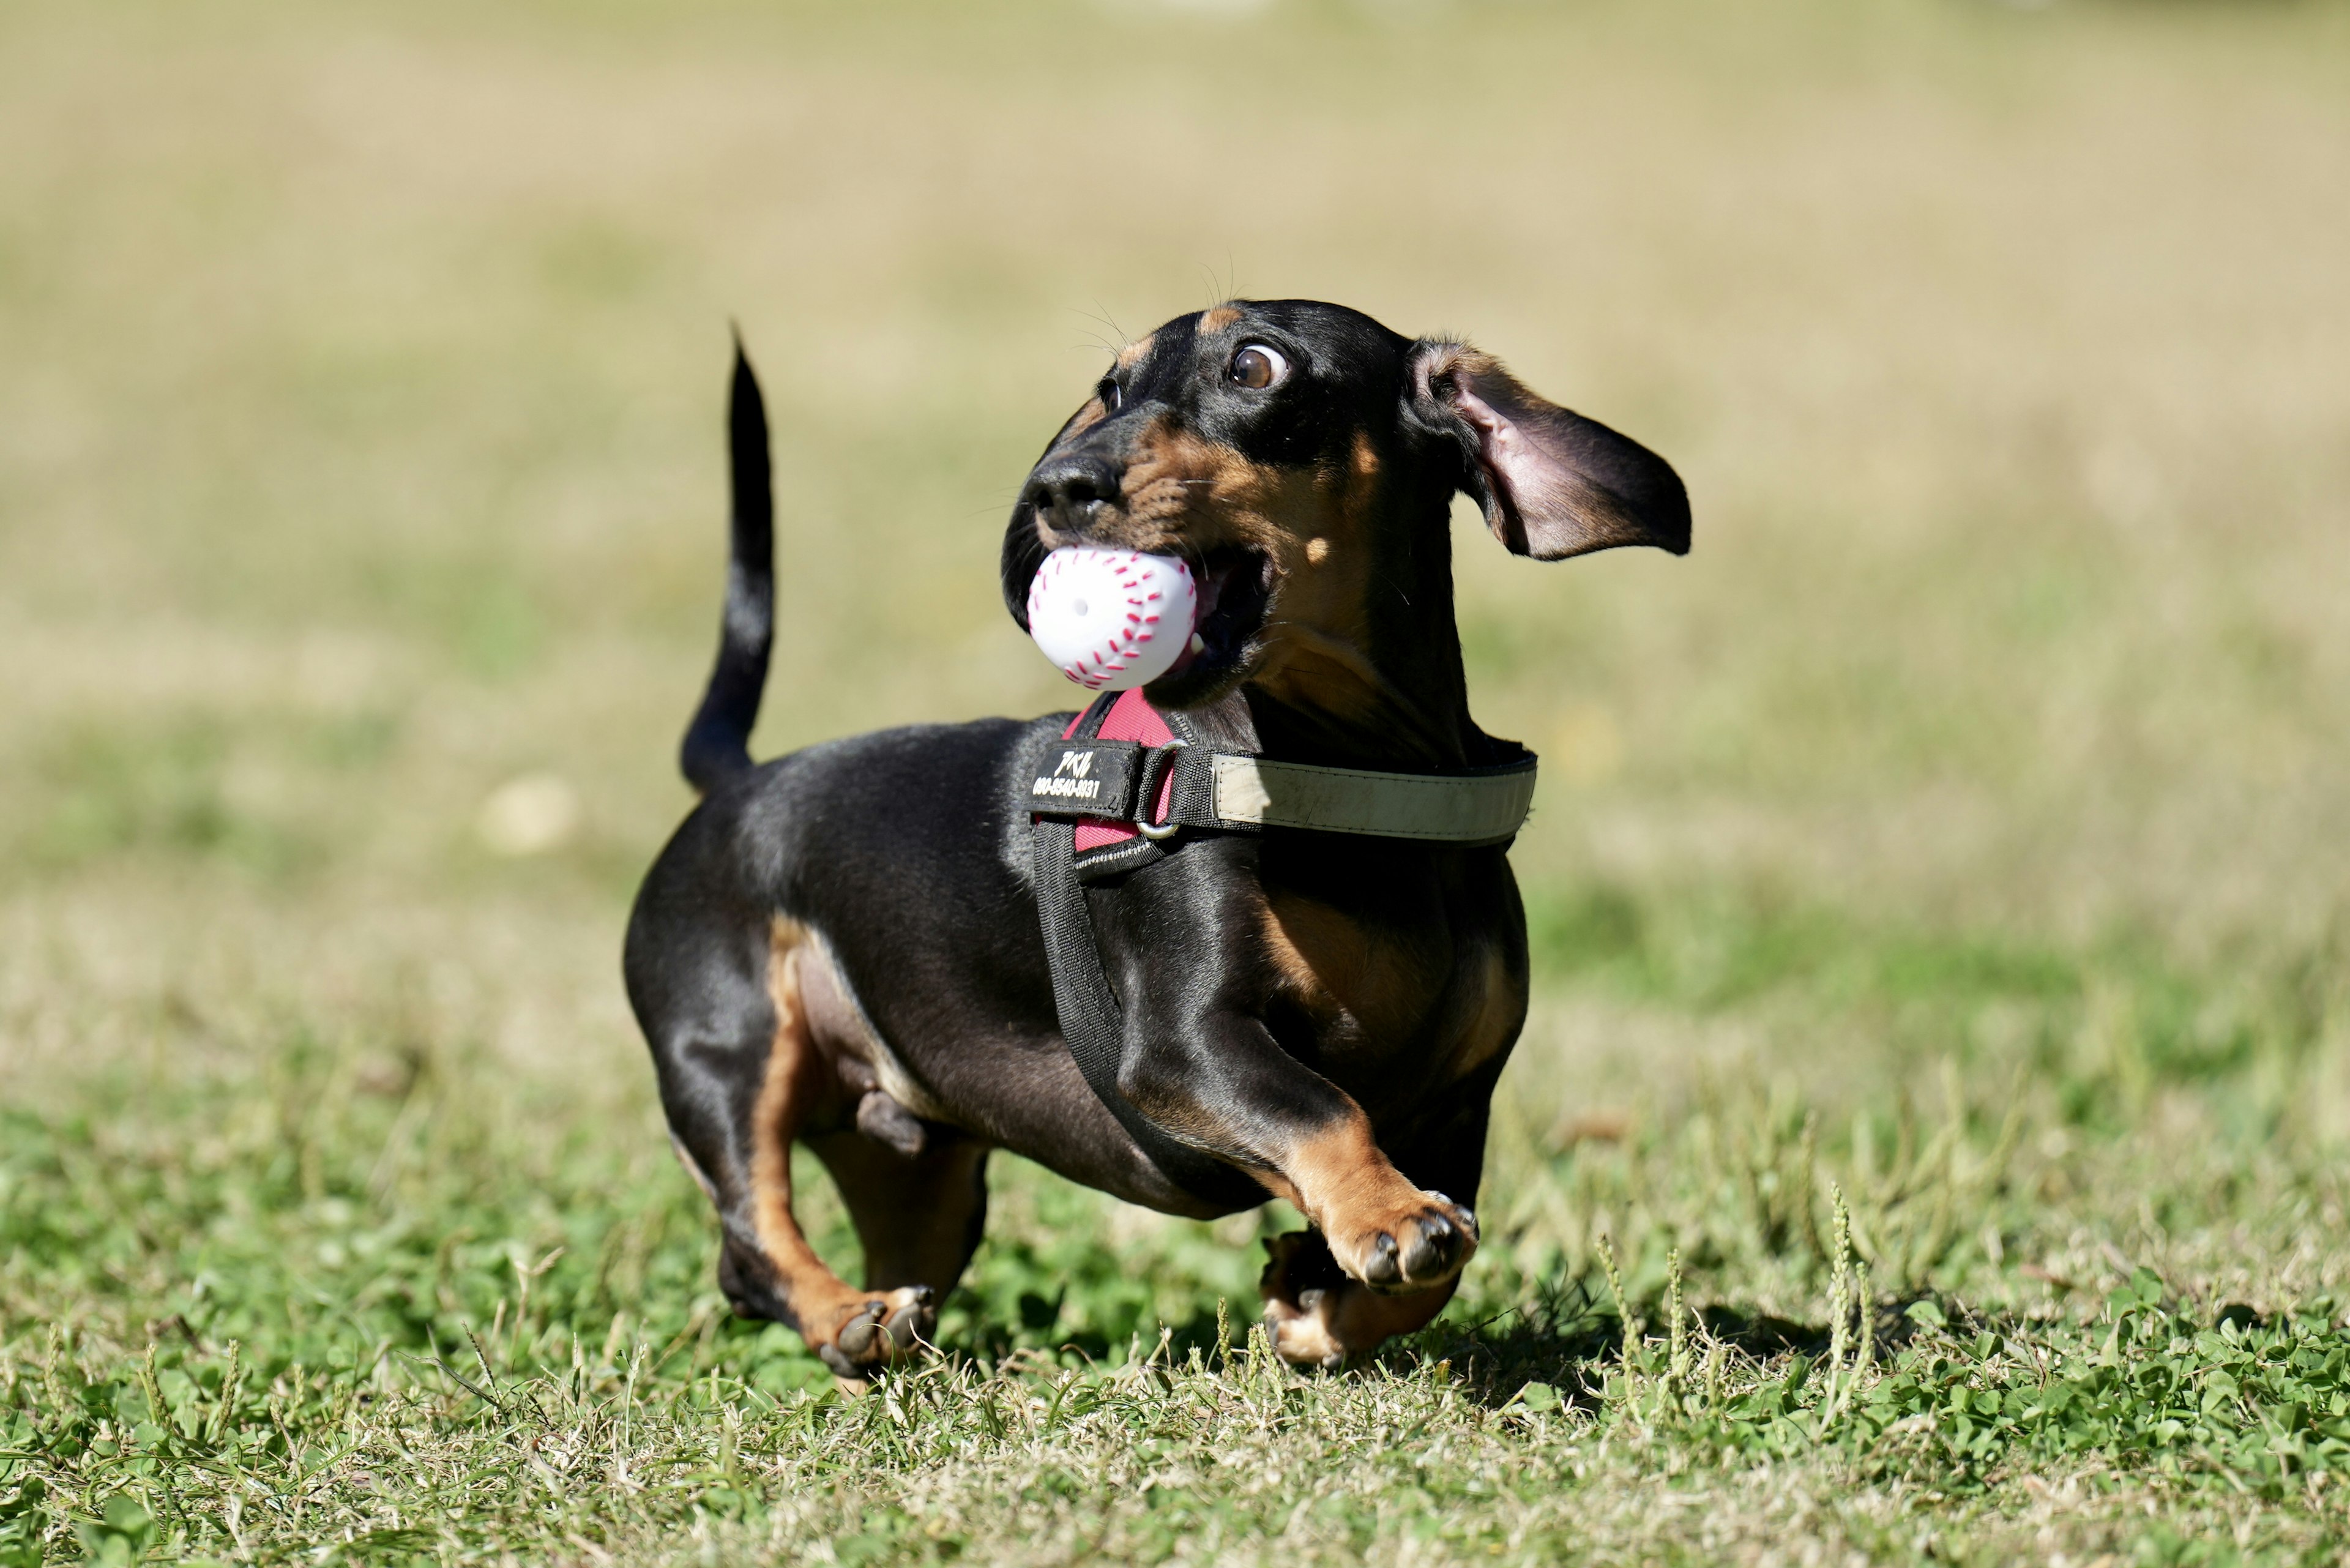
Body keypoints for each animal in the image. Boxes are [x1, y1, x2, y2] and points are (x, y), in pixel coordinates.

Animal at [625, 301, 1692, 1382]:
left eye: (1254, 366)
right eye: (1112, 387)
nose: (1058, 485)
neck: (1352, 780)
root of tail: (737, 780)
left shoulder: (1459, 1103)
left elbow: (1442, 1262)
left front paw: (1316, 1300)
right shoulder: (1184, 1045)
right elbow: (1326, 1112)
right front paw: (1385, 1217)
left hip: (922, 1169)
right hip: (729, 1053)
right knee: (749, 1241)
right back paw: (844, 1311)